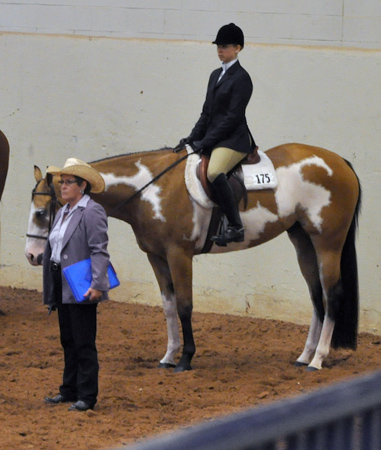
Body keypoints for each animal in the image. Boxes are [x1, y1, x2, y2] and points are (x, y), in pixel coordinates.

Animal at [26, 144, 360, 372]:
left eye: (41, 213)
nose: (32, 256)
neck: (149, 190)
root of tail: (338, 161)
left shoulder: (179, 253)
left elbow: (185, 306)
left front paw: (185, 359)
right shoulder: (157, 257)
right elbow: (169, 306)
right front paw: (168, 356)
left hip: (328, 243)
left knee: (332, 294)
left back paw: (318, 359)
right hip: (302, 241)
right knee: (316, 296)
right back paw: (304, 356)